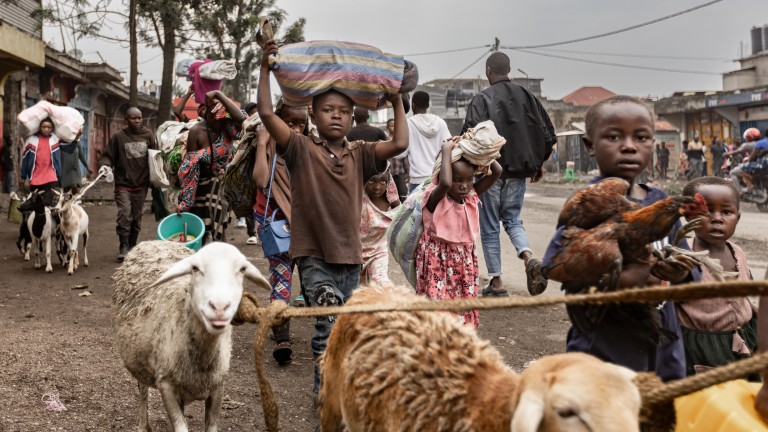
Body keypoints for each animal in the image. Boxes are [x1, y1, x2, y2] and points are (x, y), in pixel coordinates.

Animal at [112, 241, 272, 432]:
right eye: (195, 268)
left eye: (242, 269)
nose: (219, 307)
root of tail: (152, 242)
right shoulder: (166, 385)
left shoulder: (218, 386)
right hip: (139, 361)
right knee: (142, 391)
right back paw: (143, 426)